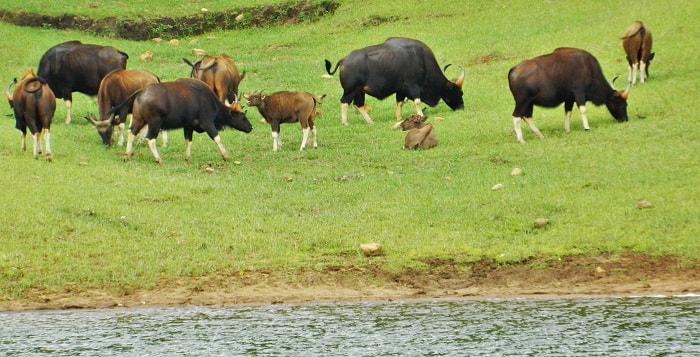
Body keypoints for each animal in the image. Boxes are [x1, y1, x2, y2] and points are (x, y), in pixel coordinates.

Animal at [324, 37, 464, 126]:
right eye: (459, 92)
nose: (461, 107)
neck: (422, 60)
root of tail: (344, 60)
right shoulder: (413, 86)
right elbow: (417, 101)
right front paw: (420, 115)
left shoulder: (401, 90)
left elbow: (399, 102)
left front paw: (399, 117)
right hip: (350, 90)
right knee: (344, 102)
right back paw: (345, 122)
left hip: (359, 91)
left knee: (358, 104)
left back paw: (370, 122)